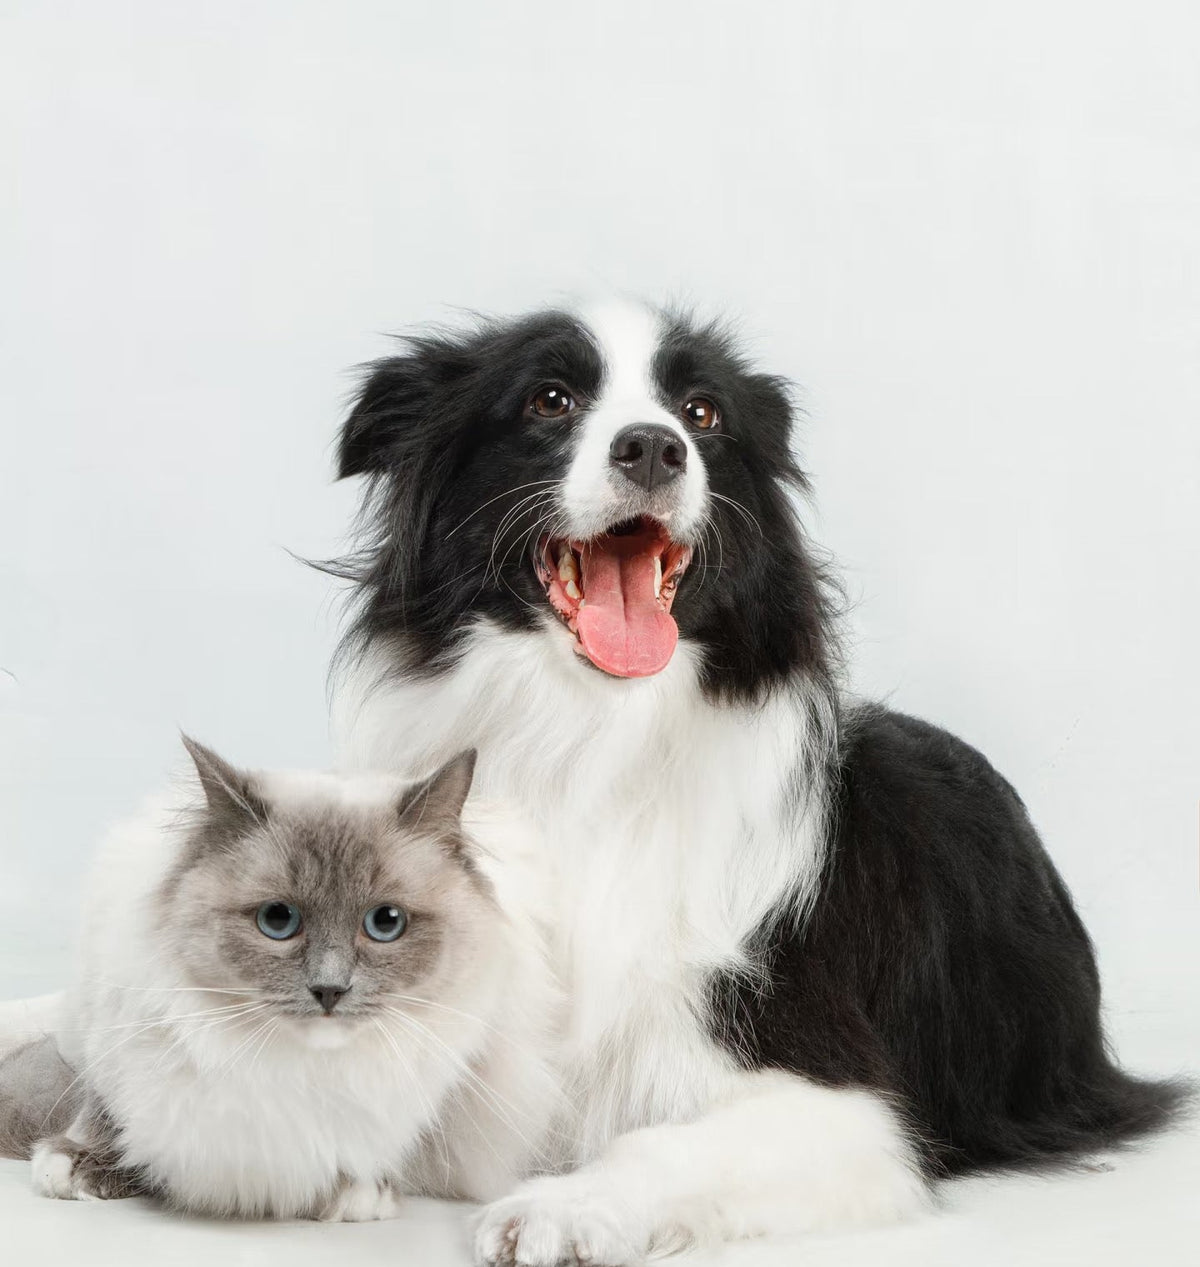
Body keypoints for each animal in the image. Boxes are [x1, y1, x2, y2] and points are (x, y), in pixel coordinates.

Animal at [1, 736, 560, 1220]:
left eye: (385, 923)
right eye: (278, 920)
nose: (330, 990)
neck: (291, 1065)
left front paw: (354, 1193)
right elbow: (108, 1113)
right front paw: (78, 1166)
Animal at [327, 299, 1183, 1264]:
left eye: (702, 413)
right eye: (550, 399)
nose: (654, 447)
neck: (590, 736)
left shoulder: (839, 1102)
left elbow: (660, 1141)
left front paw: (562, 1205)